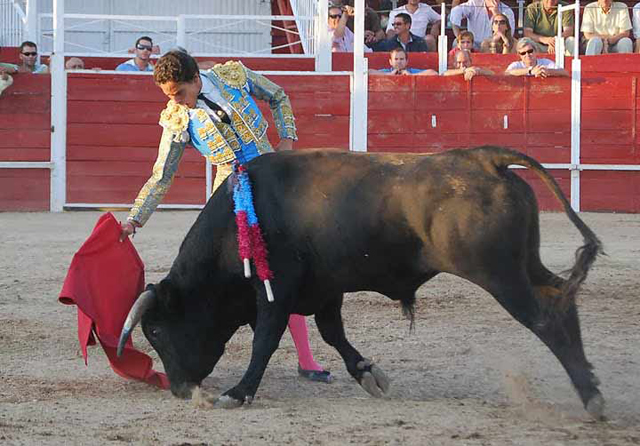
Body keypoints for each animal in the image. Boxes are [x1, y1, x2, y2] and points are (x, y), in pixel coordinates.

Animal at [116, 146, 604, 418]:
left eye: (155, 329)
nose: (180, 390)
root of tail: (486, 158)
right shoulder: (323, 289)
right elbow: (333, 333)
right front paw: (368, 373)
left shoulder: (276, 292)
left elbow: (266, 339)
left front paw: (238, 394)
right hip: (525, 264)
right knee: (562, 299)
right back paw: (591, 388)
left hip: (499, 274)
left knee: (546, 318)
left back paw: (590, 398)